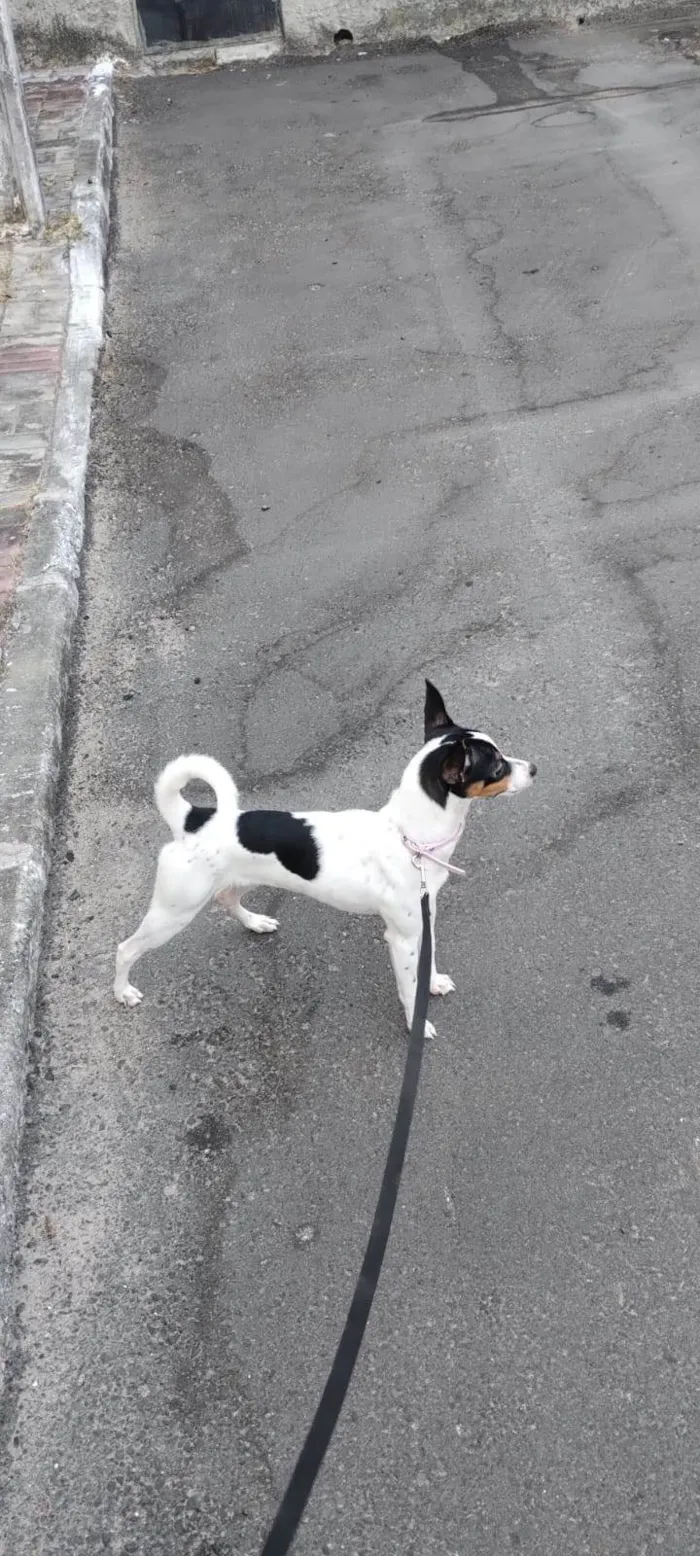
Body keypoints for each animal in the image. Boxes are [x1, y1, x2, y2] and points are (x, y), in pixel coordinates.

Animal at [113, 678, 535, 1033]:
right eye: (497, 765)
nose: (533, 767)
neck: (410, 835)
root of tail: (193, 818)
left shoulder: (423, 920)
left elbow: (426, 963)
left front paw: (432, 984)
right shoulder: (400, 937)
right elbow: (408, 986)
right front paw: (417, 1023)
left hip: (235, 881)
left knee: (228, 900)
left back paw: (255, 922)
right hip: (173, 913)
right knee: (126, 949)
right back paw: (122, 991)